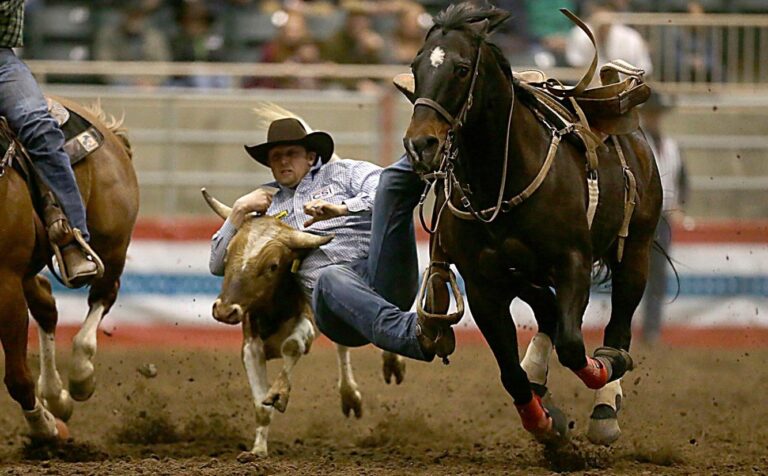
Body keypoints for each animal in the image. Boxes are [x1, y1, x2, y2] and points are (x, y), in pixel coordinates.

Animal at [0, 97, 138, 442]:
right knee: (46, 305)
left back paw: (80, 378)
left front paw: (45, 428)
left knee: (104, 294)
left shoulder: (5, 282)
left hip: (111, 245)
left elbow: (17, 377)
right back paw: (56, 397)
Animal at [402, 1, 660, 444]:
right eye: (417, 66)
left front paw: (604, 369)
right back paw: (540, 373)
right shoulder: (484, 285)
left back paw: (605, 407)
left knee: (618, 326)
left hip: (636, 250)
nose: (420, 144)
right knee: (548, 312)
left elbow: (574, 346)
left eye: (461, 68)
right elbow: (511, 371)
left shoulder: (573, 261)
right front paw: (544, 421)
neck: (501, 180)